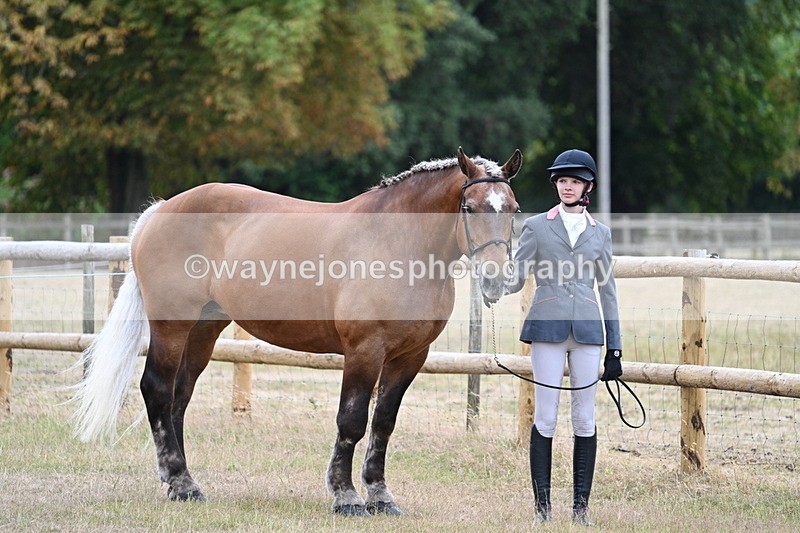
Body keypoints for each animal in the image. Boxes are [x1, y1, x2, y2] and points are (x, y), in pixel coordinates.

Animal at [72, 147, 522, 516]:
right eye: (469, 207)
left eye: (514, 209)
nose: (496, 278)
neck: (399, 243)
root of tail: (161, 210)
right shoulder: (364, 351)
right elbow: (352, 421)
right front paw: (346, 497)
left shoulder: (410, 357)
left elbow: (383, 423)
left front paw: (380, 496)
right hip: (172, 327)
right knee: (157, 390)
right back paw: (182, 483)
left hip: (203, 330)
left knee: (178, 398)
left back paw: (179, 482)